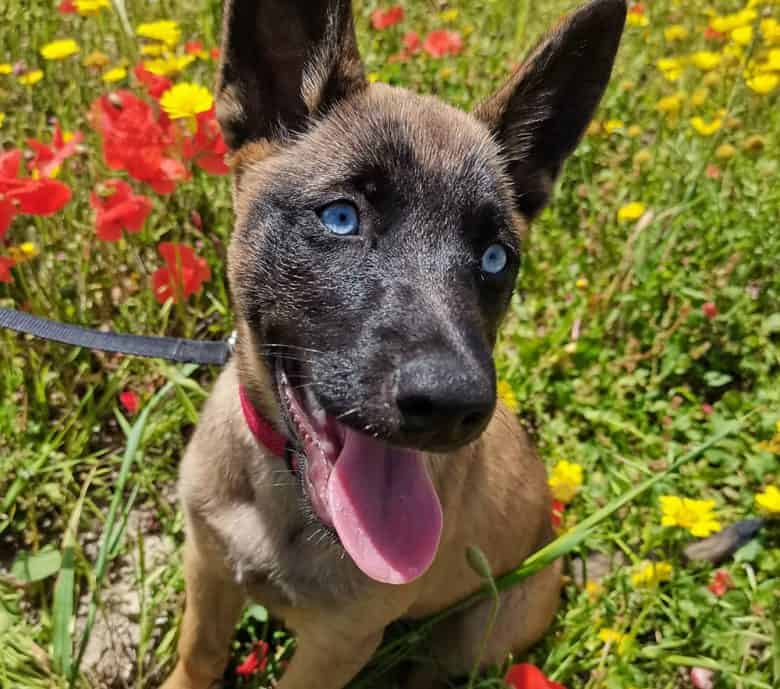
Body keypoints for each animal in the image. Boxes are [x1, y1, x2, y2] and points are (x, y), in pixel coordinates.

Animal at [160, 2, 628, 684]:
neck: (280, 493)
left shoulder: (338, 643)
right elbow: (198, 653)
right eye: (342, 218)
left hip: (478, 631)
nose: (451, 408)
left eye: (496, 258)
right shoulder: (207, 565)